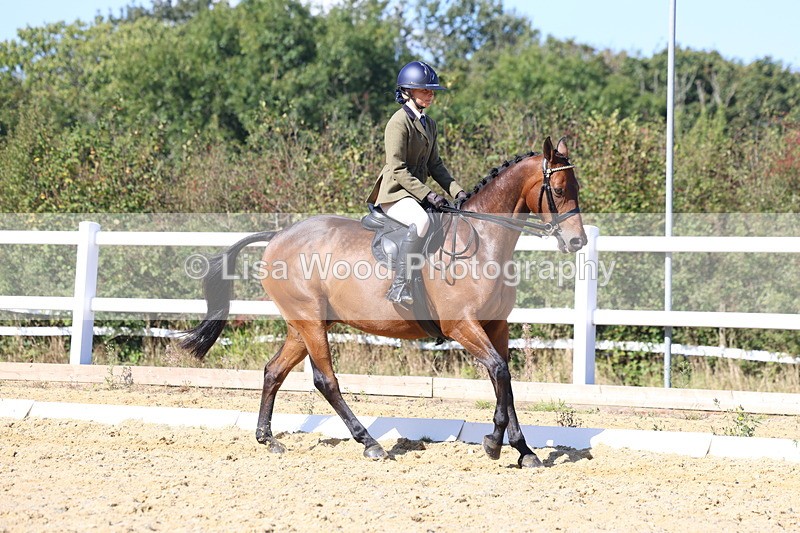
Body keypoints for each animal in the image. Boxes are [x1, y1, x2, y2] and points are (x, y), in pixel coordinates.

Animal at [180, 136, 586, 468]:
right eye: (559, 189)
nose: (577, 242)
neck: (481, 241)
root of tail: (280, 235)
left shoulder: (495, 325)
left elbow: (505, 378)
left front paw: (523, 450)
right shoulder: (462, 326)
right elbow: (499, 373)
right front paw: (494, 443)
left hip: (303, 325)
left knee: (273, 371)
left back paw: (267, 439)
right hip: (310, 322)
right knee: (326, 381)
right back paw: (370, 443)